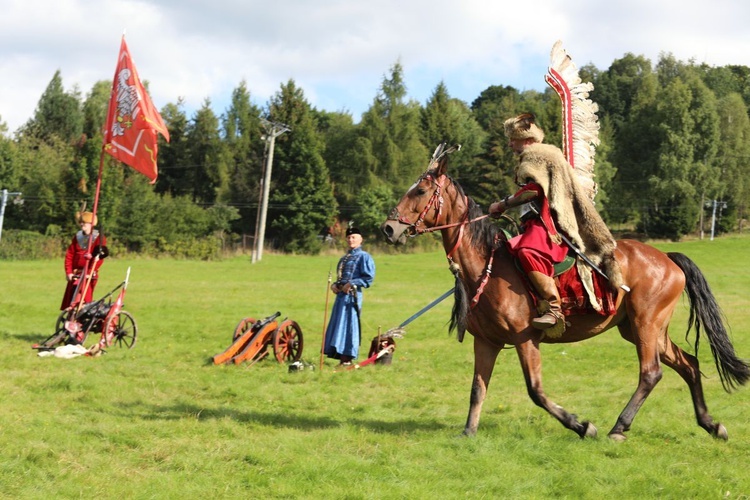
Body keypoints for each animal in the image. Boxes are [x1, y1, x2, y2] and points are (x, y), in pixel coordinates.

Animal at [384, 146, 748, 442]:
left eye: (420, 190)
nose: (388, 228)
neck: (488, 266)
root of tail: (668, 259)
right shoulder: (486, 342)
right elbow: (477, 388)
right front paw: (468, 432)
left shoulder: (525, 340)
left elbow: (536, 391)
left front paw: (581, 425)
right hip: (641, 328)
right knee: (689, 364)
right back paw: (711, 424)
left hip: (646, 325)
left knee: (651, 373)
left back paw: (619, 428)